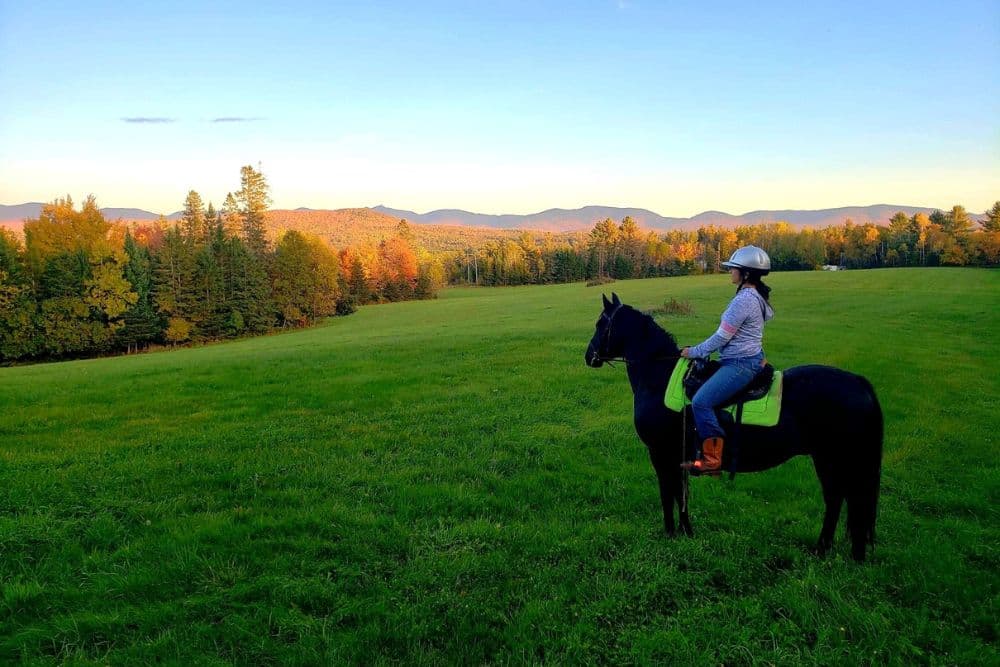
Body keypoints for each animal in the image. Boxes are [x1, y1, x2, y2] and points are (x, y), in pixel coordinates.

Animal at [584, 294, 884, 560]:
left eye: (600, 323)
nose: (588, 356)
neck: (659, 377)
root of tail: (859, 383)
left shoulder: (661, 454)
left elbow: (668, 493)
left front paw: (670, 533)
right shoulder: (677, 456)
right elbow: (681, 493)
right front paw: (686, 531)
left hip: (832, 458)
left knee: (839, 498)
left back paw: (826, 550)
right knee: (841, 499)